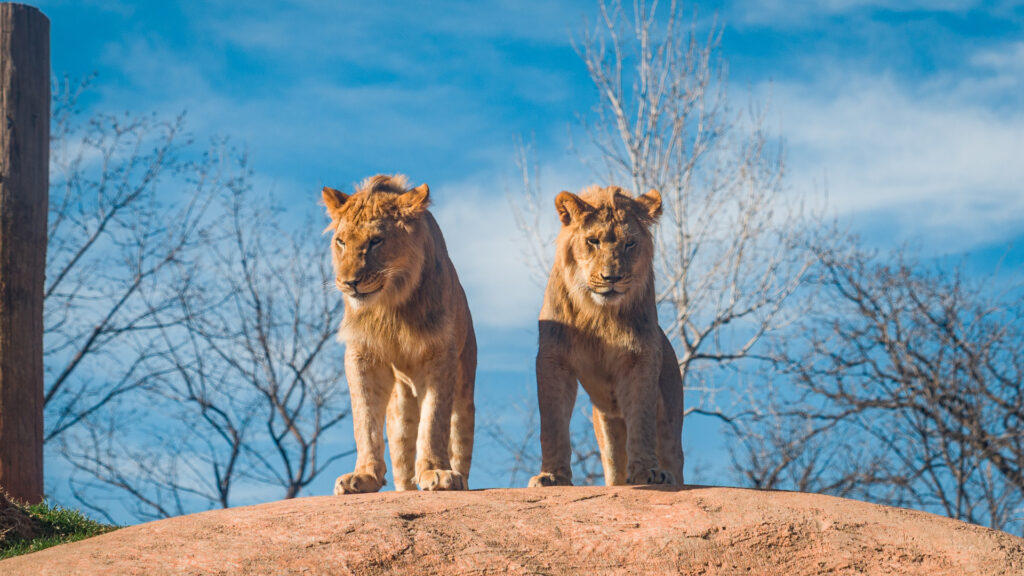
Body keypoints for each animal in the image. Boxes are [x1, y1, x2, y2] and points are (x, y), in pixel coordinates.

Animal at [322, 174, 476, 494]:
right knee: (402, 458)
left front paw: (436, 471)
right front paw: (363, 476)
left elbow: (434, 420)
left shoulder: (440, 354)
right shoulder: (361, 354)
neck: (389, 306)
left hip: (464, 392)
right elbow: (364, 419)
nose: (348, 282)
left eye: (376, 241)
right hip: (400, 409)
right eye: (341, 242)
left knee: (458, 440)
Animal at [528, 185, 683, 488]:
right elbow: (552, 423)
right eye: (593, 241)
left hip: (671, 417)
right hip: (606, 423)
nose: (612, 278)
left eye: (630, 244)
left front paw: (648, 471)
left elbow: (642, 419)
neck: (599, 315)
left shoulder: (641, 357)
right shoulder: (553, 358)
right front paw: (552, 476)